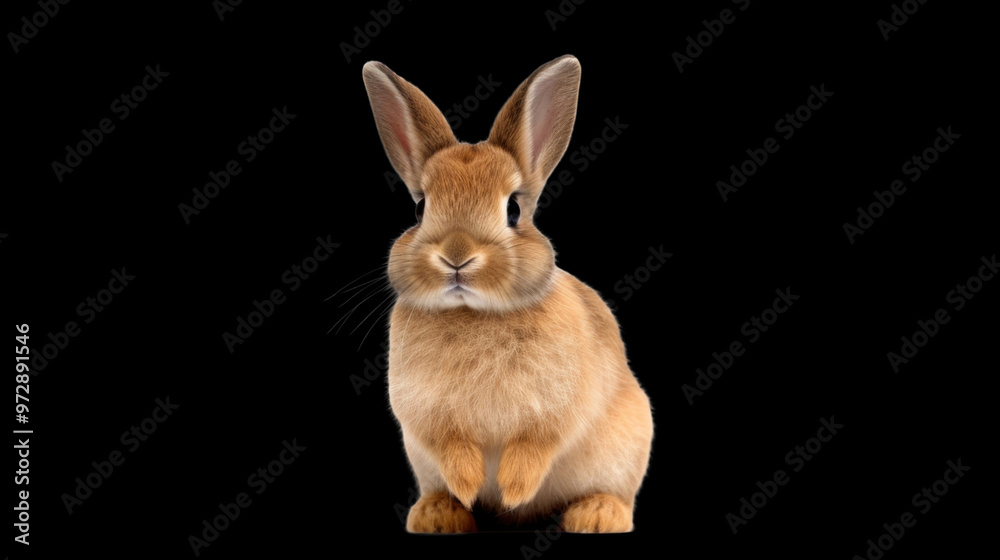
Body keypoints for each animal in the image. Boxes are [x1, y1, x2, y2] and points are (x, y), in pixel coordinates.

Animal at [362, 54, 653, 533]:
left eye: (513, 209)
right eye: (420, 208)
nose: (457, 256)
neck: (475, 313)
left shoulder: (558, 410)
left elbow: (537, 443)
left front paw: (514, 489)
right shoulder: (426, 417)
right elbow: (451, 443)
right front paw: (469, 485)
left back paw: (596, 515)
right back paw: (438, 514)